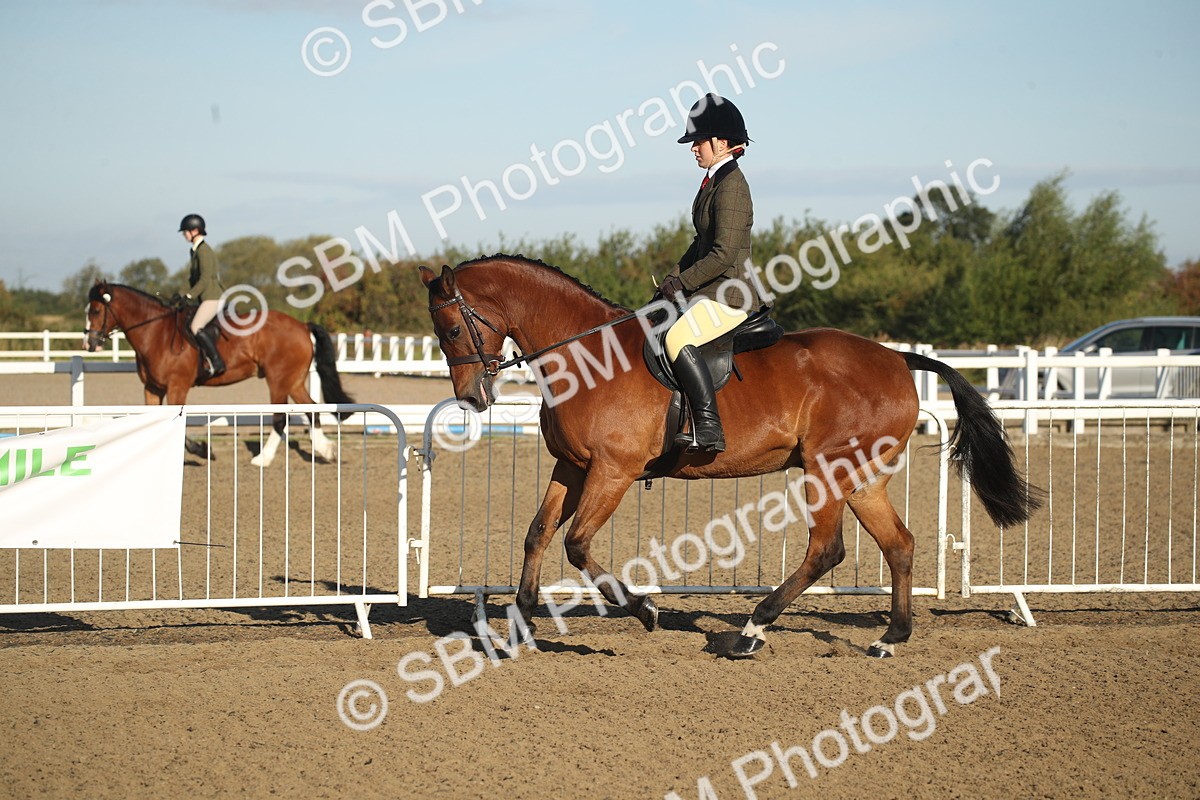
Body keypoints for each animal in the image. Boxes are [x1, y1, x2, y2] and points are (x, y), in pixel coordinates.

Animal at [84, 281, 354, 467]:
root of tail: (301, 325)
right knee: (312, 409)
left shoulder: (176, 387)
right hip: (293, 381)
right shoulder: (152, 388)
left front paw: (203, 450)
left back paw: (263, 459)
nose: (89, 344)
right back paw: (326, 450)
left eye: (95, 311)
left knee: (280, 418)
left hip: (278, 381)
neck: (156, 332)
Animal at [421, 254, 1042, 658]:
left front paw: (644, 610)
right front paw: (516, 628)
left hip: (827, 470)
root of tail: (895, 357)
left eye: (451, 328)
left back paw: (751, 631)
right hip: (861, 476)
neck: (585, 354)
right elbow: (537, 534)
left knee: (827, 549)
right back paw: (890, 638)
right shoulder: (572, 466)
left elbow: (576, 544)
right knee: (899, 545)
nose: (472, 399)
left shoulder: (613, 471)